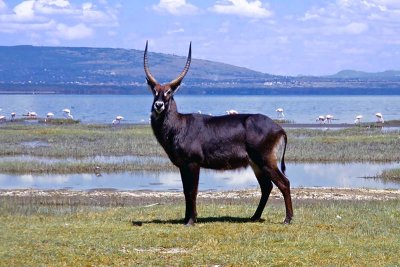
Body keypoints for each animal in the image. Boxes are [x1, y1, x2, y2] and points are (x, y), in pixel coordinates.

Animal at [142, 42, 292, 226]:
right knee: (267, 186)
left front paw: (191, 221)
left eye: (169, 92)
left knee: (284, 183)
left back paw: (287, 219)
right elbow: (185, 191)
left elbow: (192, 191)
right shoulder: (183, 166)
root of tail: (279, 128)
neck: (179, 126)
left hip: (265, 159)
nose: (159, 105)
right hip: (255, 163)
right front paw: (185, 218)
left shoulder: (193, 163)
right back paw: (254, 217)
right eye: (154, 90)